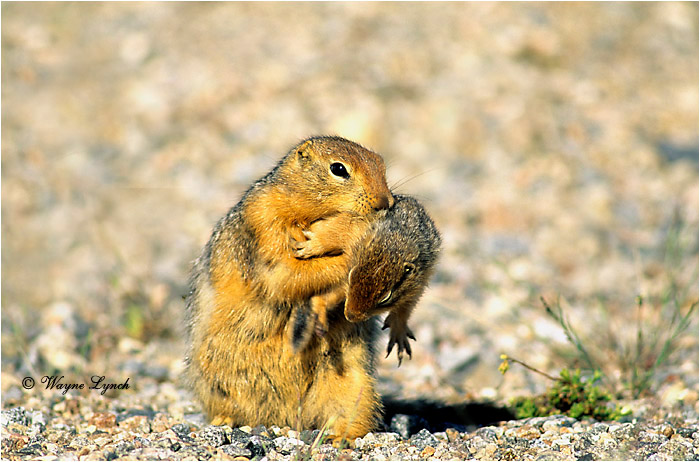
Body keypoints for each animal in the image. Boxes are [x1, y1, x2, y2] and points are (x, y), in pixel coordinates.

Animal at [185, 136, 393, 441]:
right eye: (338, 169)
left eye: (381, 163)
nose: (386, 202)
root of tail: (287, 420)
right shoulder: (265, 222)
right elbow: (286, 273)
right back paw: (225, 421)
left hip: (355, 384)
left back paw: (340, 437)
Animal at [289, 194, 441, 365]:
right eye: (351, 274)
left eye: (386, 298)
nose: (350, 316)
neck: (396, 243)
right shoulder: (353, 232)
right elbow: (333, 234)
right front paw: (311, 244)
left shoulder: (419, 282)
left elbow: (405, 309)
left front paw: (399, 332)